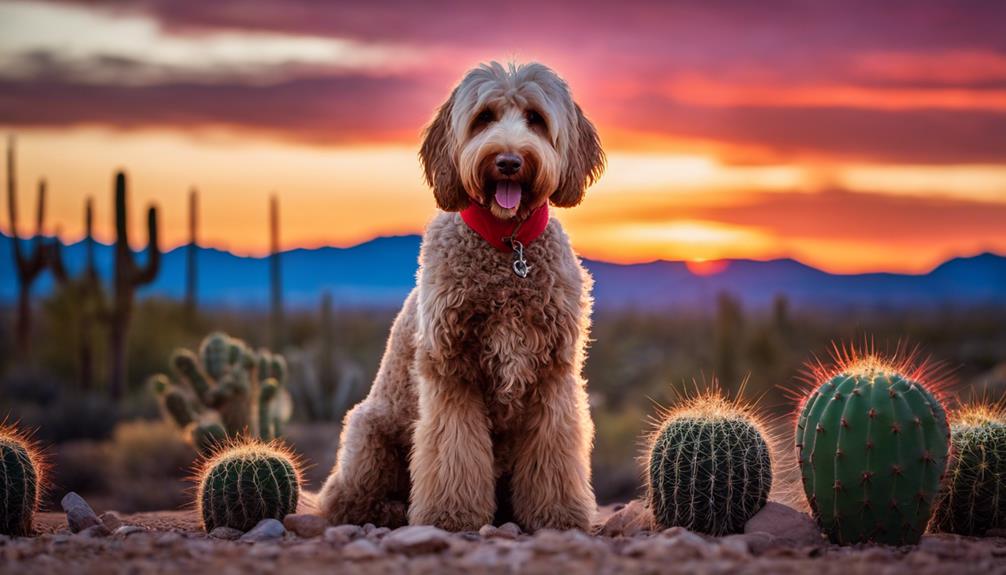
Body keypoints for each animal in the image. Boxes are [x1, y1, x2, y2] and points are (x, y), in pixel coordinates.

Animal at [319, 60, 603, 530]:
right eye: (484, 117)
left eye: (536, 119)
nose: (508, 161)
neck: (508, 246)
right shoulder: (452, 371)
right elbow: (453, 454)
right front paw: (449, 516)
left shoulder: (553, 376)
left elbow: (554, 457)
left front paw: (558, 515)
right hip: (368, 435)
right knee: (345, 500)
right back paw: (388, 509)